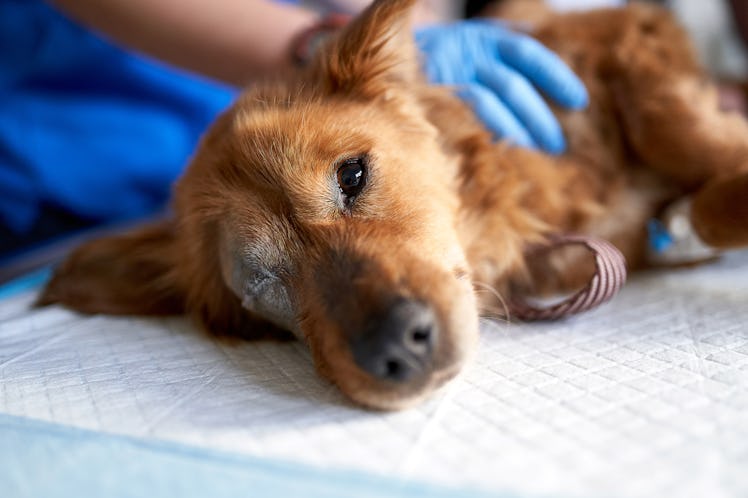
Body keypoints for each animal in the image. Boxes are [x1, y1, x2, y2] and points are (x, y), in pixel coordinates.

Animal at [38, 1, 748, 410]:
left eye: (352, 175)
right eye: (260, 287)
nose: (398, 350)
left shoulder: (624, 32)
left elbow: (673, 127)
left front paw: (703, 197)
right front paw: (687, 221)